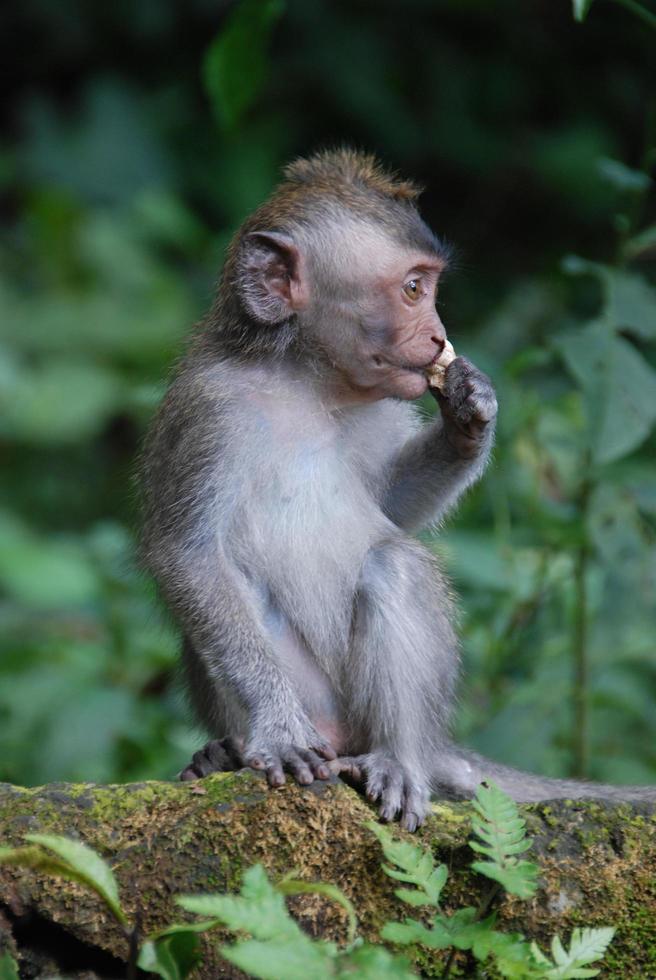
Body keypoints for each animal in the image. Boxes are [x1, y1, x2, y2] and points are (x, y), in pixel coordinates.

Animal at [140, 149, 656, 832]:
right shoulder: (209, 412)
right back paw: (231, 750)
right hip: (317, 702)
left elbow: (394, 510)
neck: (305, 380)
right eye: (413, 289)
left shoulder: (387, 404)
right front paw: (278, 731)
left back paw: (397, 759)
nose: (439, 337)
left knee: (394, 566)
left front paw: (471, 416)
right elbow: (189, 555)